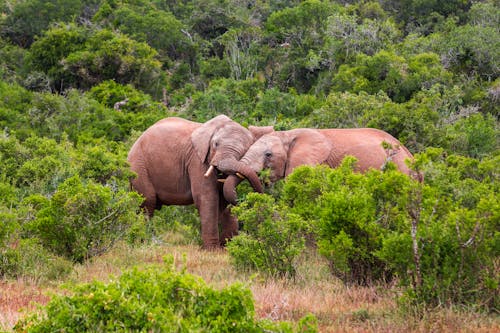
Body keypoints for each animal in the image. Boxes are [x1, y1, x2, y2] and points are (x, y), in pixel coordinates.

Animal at [127, 114, 272, 246]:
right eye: (216, 144)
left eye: (245, 151)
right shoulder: (197, 160)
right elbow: (207, 198)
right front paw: (212, 250)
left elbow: (223, 199)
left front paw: (226, 247)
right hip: (138, 167)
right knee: (147, 203)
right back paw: (144, 242)